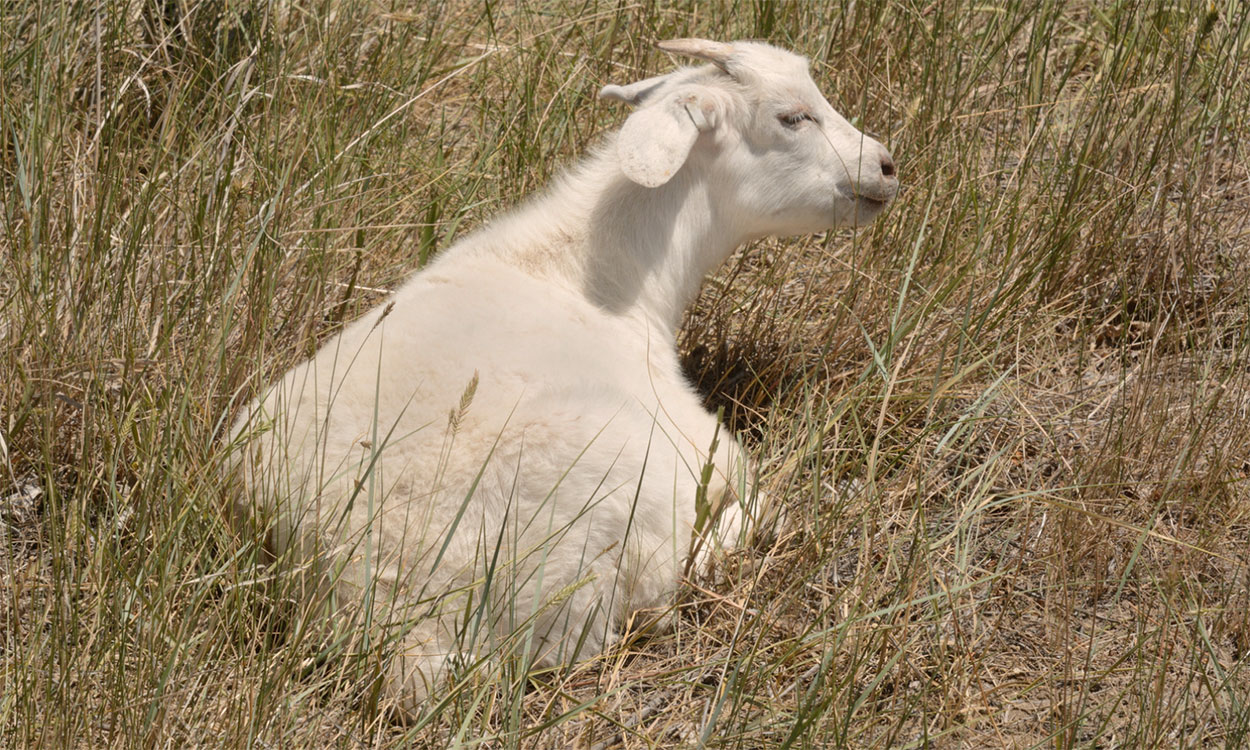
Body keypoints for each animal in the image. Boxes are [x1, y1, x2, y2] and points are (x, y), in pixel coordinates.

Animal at [232, 38, 900, 710]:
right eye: (792, 117)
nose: (887, 166)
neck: (594, 274)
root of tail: (398, 631)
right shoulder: (700, 441)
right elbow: (754, 490)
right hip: (608, 525)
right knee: (664, 587)